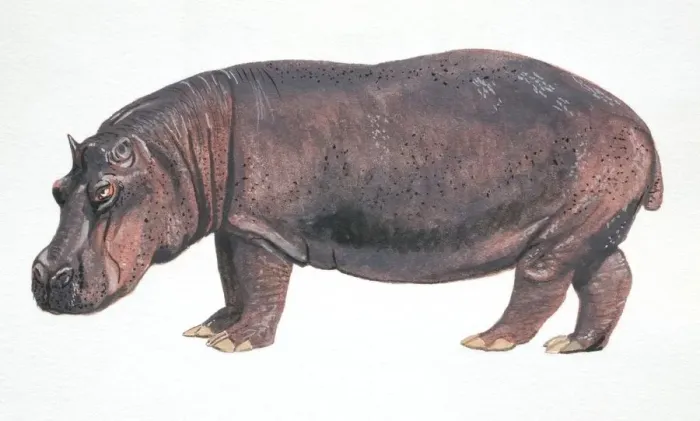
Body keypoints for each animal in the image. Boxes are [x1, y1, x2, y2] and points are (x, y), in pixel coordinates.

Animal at [31, 48, 663, 354]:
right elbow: (231, 280)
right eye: (57, 189)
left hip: (567, 220)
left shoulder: (263, 228)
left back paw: (488, 342)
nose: (43, 276)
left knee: (542, 278)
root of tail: (640, 123)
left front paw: (234, 345)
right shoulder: (235, 225)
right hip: (591, 220)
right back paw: (575, 347)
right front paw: (209, 329)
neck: (179, 147)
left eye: (106, 192)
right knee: (609, 274)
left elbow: (260, 283)